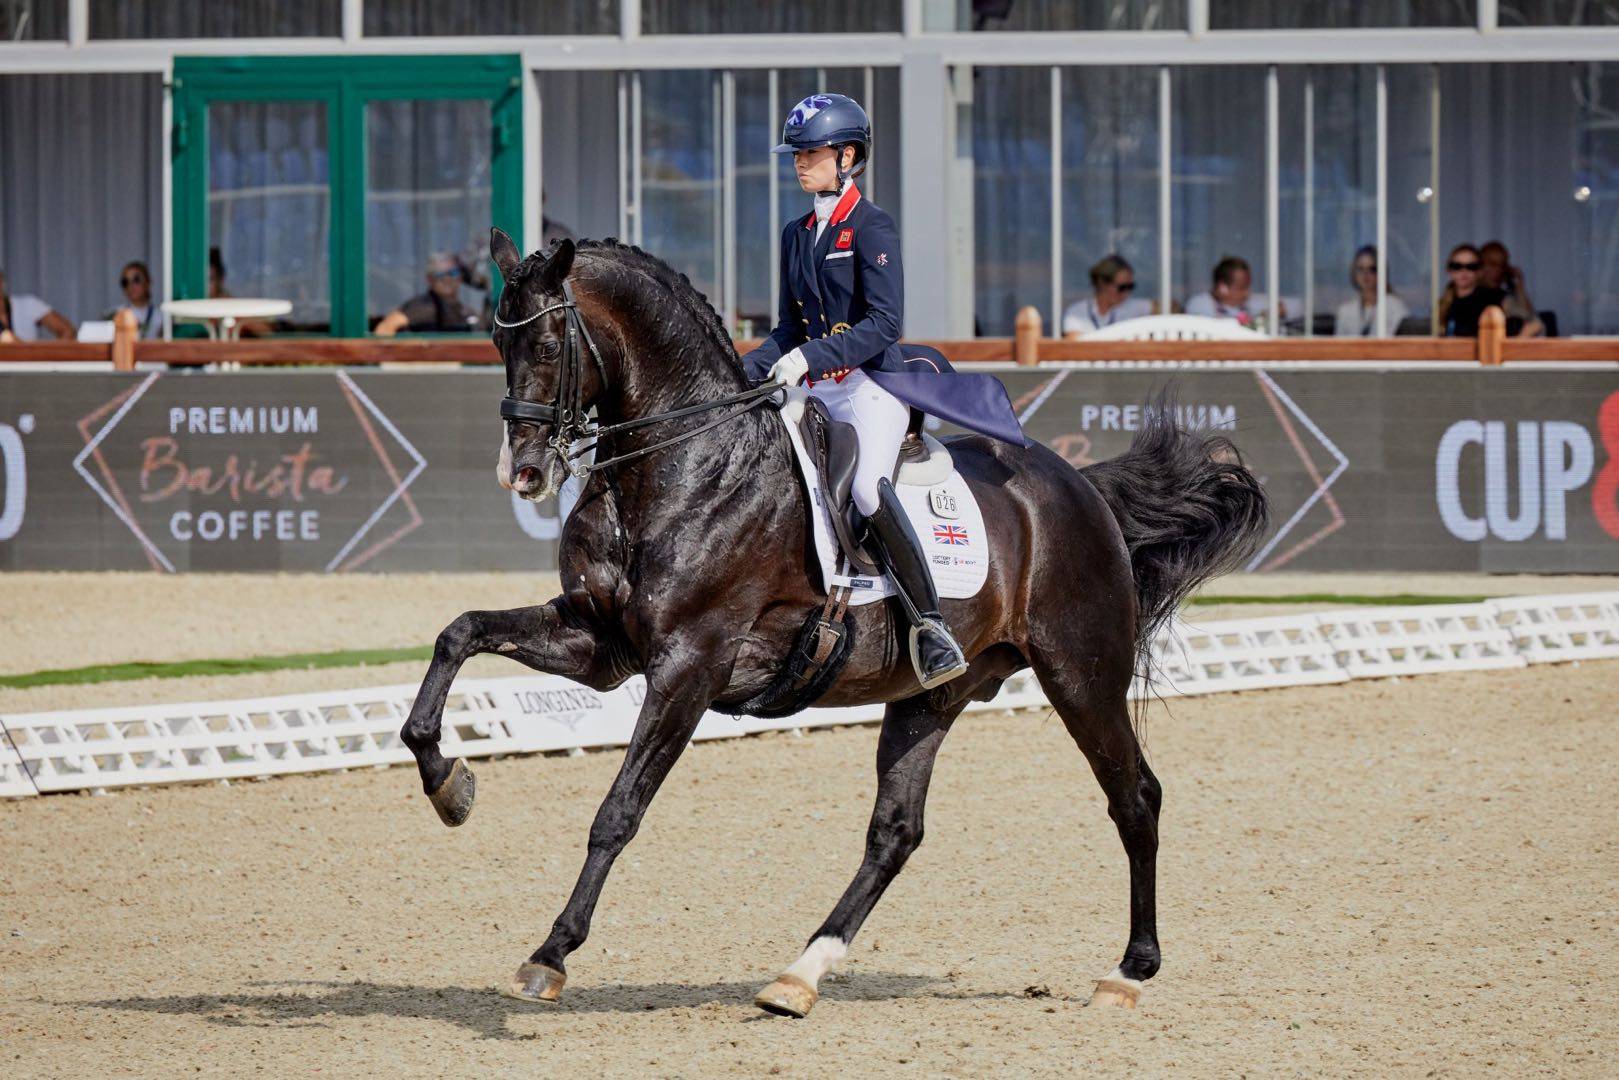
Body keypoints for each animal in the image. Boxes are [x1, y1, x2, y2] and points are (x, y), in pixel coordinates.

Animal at [400, 229, 1269, 1017]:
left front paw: (549, 955)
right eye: (494, 340)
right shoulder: (600, 643)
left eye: (549, 341)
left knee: (1135, 798)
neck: (682, 462)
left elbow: (617, 813)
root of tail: (1079, 487)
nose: (524, 474)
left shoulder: (689, 664)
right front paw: (449, 784)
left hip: (1080, 675)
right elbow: (458, 633)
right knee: (895, 833)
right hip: (931, 695)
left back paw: (1127, 971)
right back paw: (797, 976)